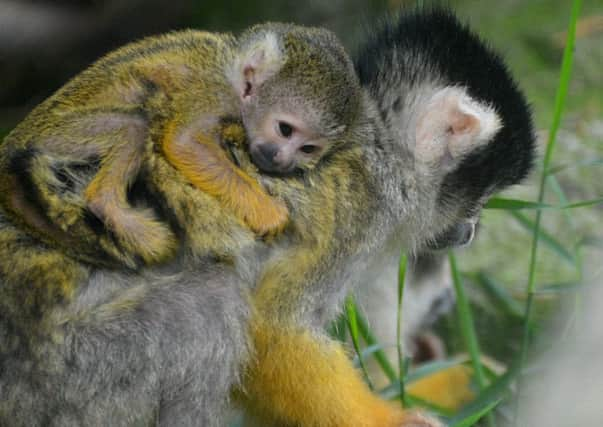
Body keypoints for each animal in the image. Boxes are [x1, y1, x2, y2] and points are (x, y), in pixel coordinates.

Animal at [0, 22, 360, 268]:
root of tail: (13, 142)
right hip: (61, 134)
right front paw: (268, 213)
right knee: (134, 127)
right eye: (285, 130)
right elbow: (184, 142)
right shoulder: (212, 92)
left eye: (308, 149)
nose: (281, 158)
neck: (232, 73)